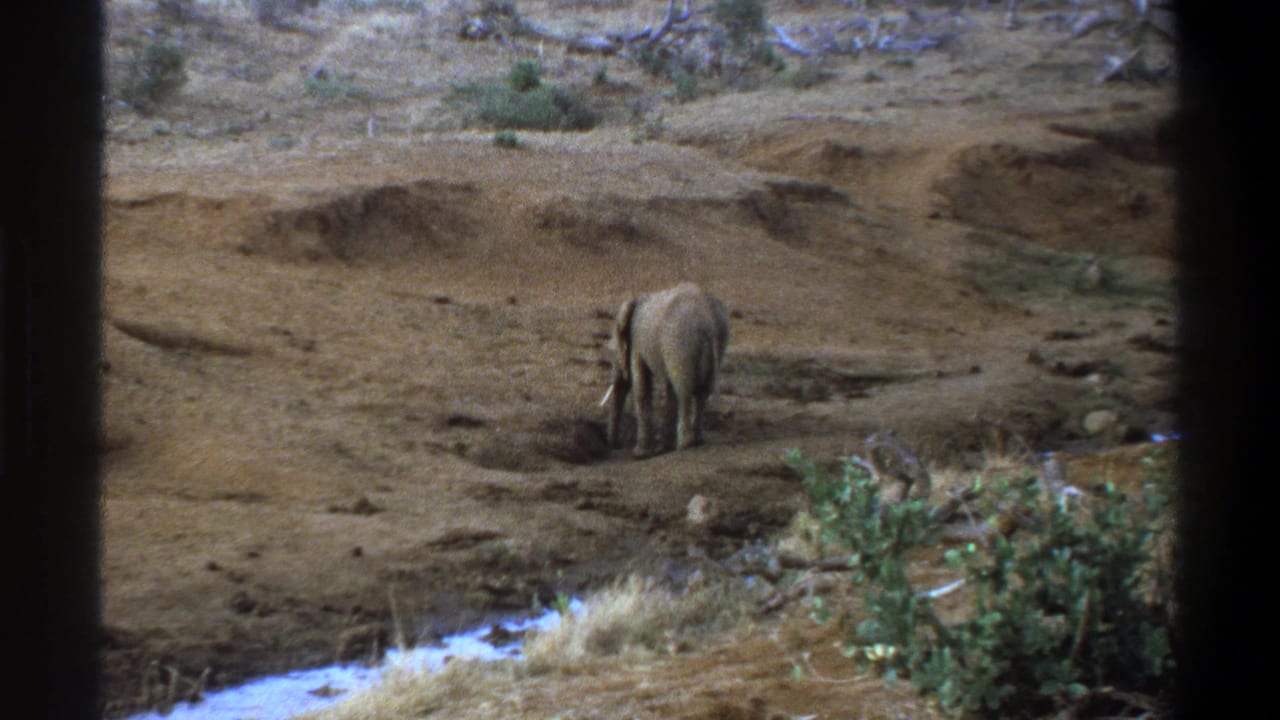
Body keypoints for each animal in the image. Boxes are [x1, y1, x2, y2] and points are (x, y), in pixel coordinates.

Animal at [602, 283, 729, 457]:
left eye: (614, 350)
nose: (617, 446)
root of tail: (709, 318)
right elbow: (667, 390)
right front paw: (663, 448)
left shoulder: (637, 342)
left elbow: (642, 387)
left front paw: (640, 453)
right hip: (714, 342)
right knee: (702, 392)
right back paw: (697, 441)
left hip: (680, 343)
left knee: (683, 390)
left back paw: (685, 444)